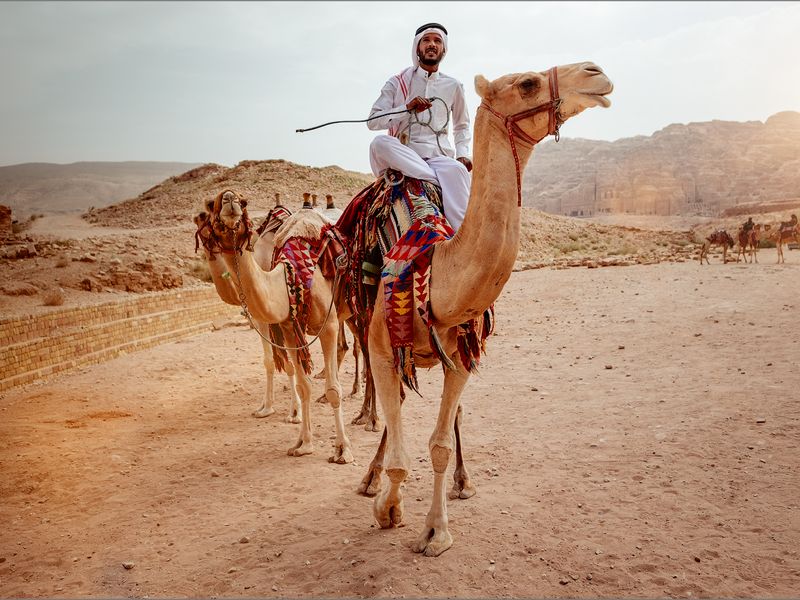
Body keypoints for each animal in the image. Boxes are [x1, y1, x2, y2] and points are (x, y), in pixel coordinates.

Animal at [360, 61, 616, 552]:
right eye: (528, 83)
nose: (597, 74)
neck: (433, 269)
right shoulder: (383, 348)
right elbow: (400, 444)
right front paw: (388, 508)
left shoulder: (461, 354)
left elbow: (439, 444)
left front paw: (436, 531)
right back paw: (370, 479)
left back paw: (462, 481)